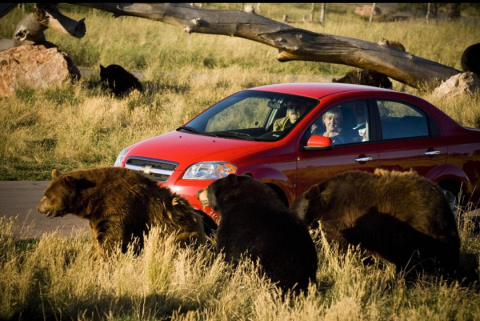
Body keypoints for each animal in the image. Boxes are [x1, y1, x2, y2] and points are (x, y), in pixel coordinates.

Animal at [37, 166, 206, 256]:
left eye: (48, 196)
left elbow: (111, 239)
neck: (94, 200)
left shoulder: (118, 207)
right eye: (45, 193)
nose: (39, 208)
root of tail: (197, 218)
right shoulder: (97, 217)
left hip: (178, 233)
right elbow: (98, 237)